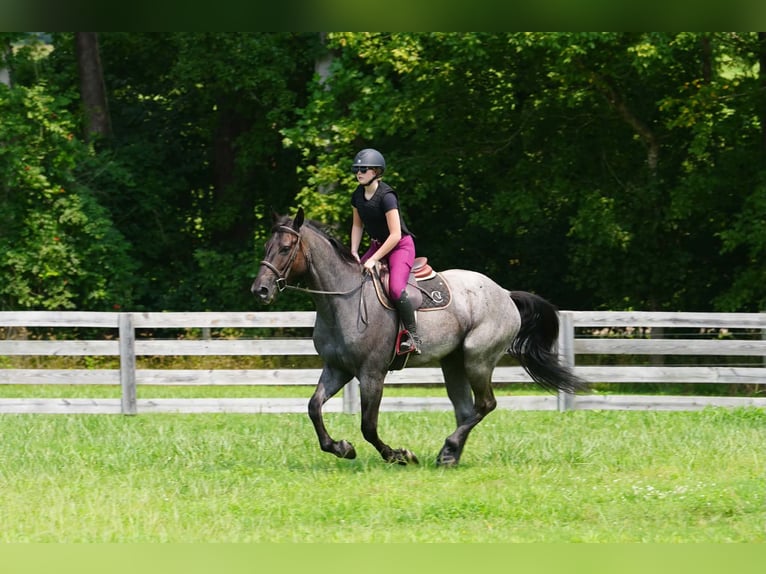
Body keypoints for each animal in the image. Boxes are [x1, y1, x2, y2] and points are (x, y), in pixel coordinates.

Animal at [251, 208, 589, 466]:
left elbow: (368, 426)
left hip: (478, 359)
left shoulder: (371, 374)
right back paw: (449, 455)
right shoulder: (337, 369)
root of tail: (505, 294)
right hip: (453, 362)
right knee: (466, 409)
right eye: (266, 246)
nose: (260, 290)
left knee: (485, 404)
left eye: (285, 248)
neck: (342, 299)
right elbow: (313, 408)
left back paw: (448, 448)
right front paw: (342, 448)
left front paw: (400, 455)